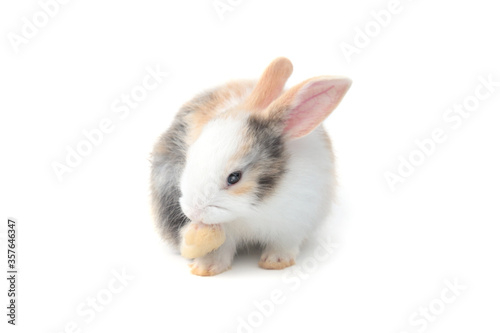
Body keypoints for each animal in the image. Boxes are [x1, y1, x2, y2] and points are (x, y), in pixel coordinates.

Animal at [150, 56, 350, 274]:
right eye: (190, 156)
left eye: (234, 177)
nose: (193, 212)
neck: (252, 212)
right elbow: (220, 250)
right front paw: (206, 268)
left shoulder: (294, 224)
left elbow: (283, 245)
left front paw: (275, 262)